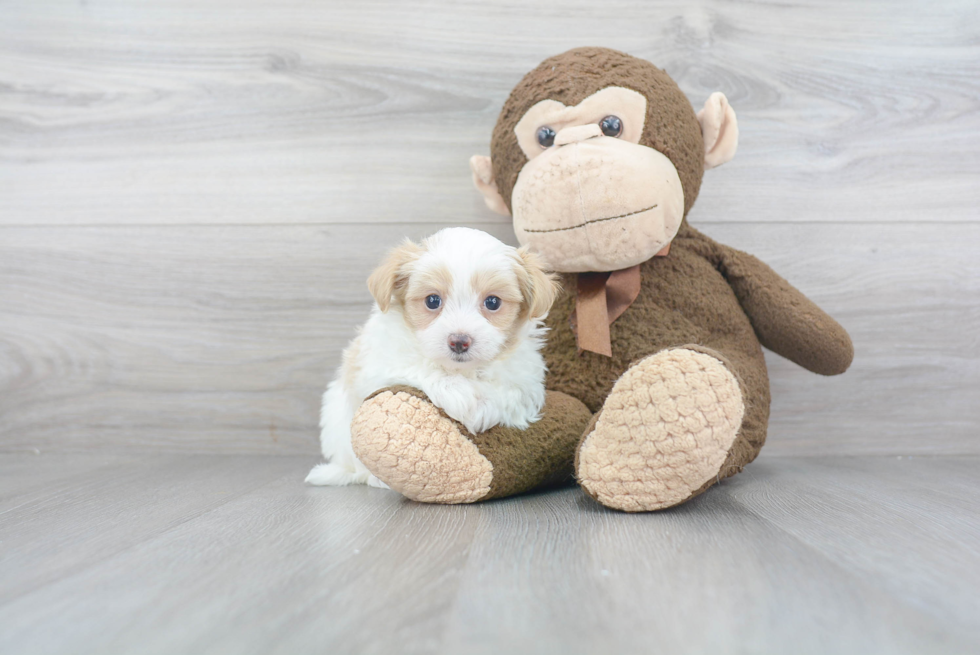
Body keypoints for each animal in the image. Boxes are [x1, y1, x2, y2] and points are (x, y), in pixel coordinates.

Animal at [306, 226, 556, 486]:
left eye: (493, 302)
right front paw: (462, 397)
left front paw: (483, 406)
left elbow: (510, 391)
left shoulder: (526, 381)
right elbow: (420, 367)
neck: (461, 370)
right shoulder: (381, 363)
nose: (459, 341)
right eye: (432, 300)